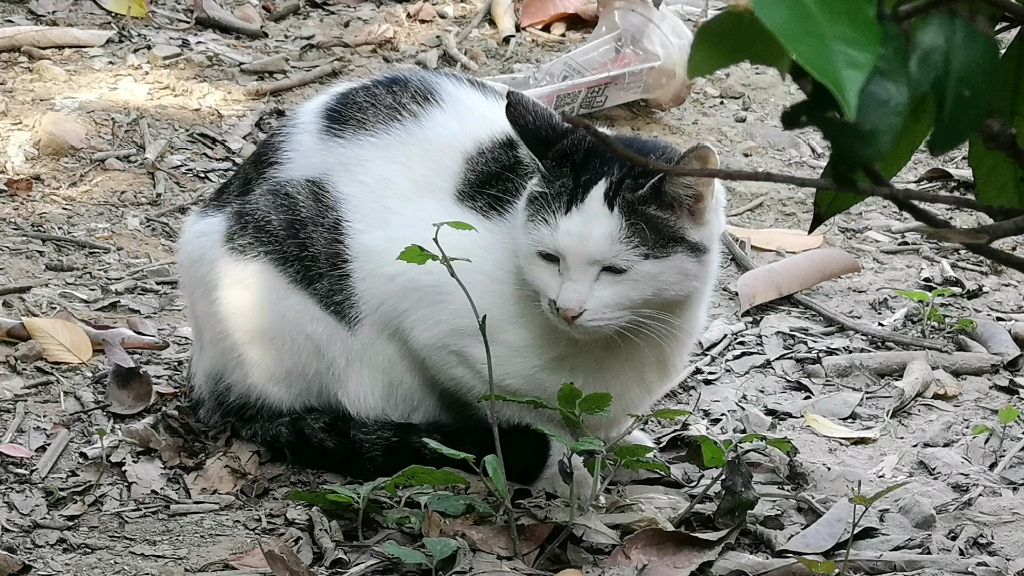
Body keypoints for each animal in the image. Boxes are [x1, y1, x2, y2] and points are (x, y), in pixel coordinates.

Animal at [182, 68, 729, 487]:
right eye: (548, 258)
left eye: (615, 270)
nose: (566, 309)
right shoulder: (430, 318)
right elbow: (524, 416)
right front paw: (565, 469)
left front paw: (622, 447)